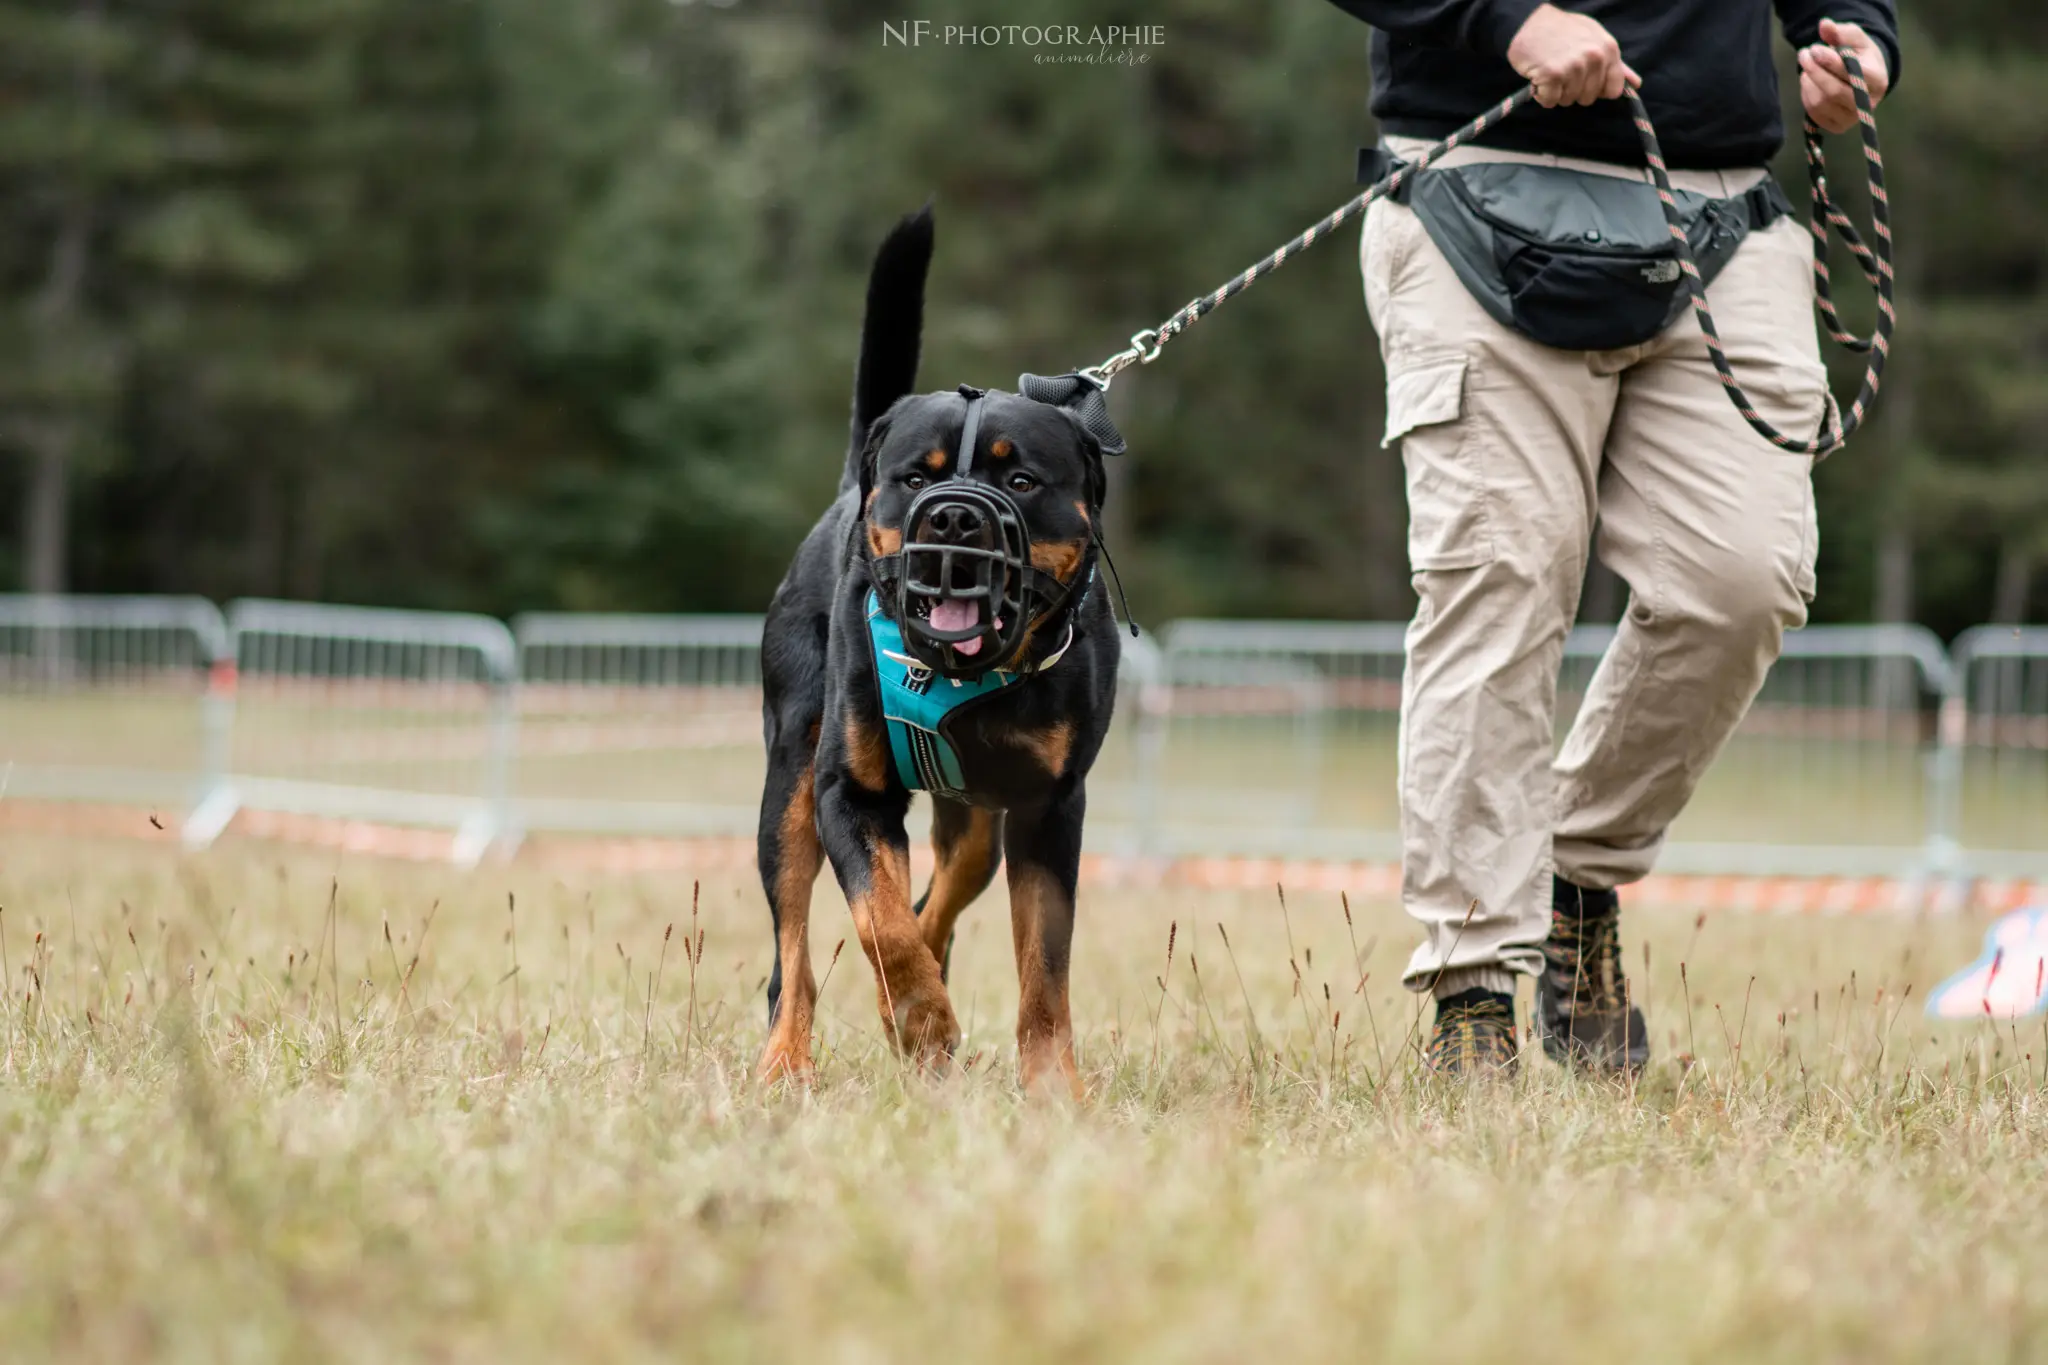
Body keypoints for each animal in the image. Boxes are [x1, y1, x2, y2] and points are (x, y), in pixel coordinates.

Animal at [757, 205, 1122, 1096]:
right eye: (917, 479)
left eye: (1021, 480)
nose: (956, 516)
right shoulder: (848, 792)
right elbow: (880, 922)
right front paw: (921, 1021)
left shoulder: (1049, 808)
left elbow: (1044, 966)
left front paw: (1051, 1085)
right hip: (790, 781)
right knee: (795, 950)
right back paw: (788, 1059)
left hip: (977, 820)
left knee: (940, 896)